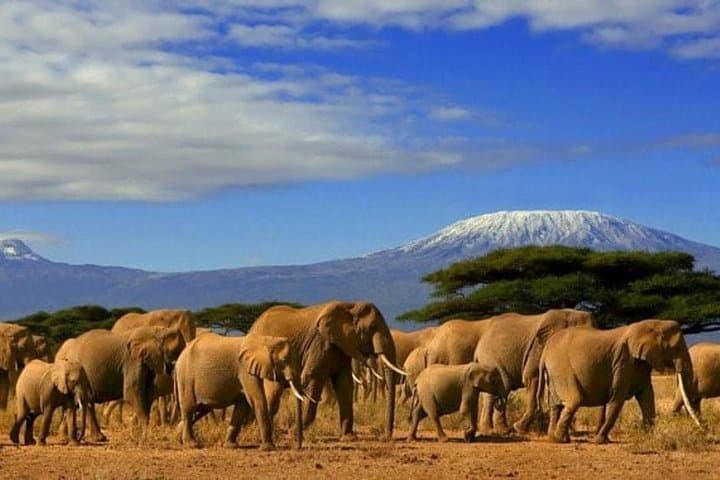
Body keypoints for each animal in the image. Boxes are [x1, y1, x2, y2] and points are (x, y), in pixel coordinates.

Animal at [175, 332, 306, 450]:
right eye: (284, 360)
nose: (298, 447)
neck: (267, 340)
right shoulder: (245, 369)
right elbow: (256, 399)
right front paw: (268, 448)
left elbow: (242, 406)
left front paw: (230, 446)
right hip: (185, 376)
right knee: (189, 409)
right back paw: (191, 445)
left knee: (200, 410)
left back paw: (178, 438)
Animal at [248, 301, 406, 440]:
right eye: (372, 327)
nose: (385, 437)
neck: (350, 306)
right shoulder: (320, 343)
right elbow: (313, 379)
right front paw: (294, 434)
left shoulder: (341, 346)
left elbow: (345, 384)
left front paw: (348, 437)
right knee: (273, 394)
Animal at [539, 319, 700, 444]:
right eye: (676, 348)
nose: (701, 429)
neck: (653, 324)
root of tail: (545, 352)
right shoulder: (623, 361)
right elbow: (617, 398)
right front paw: (600, 441)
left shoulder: (640, 363)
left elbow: (647, 396)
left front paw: (648, 436)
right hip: (561, 367)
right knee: (574, 400)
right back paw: (560, 439)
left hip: (554, 372)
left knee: (556, 405)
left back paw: (554, 438)